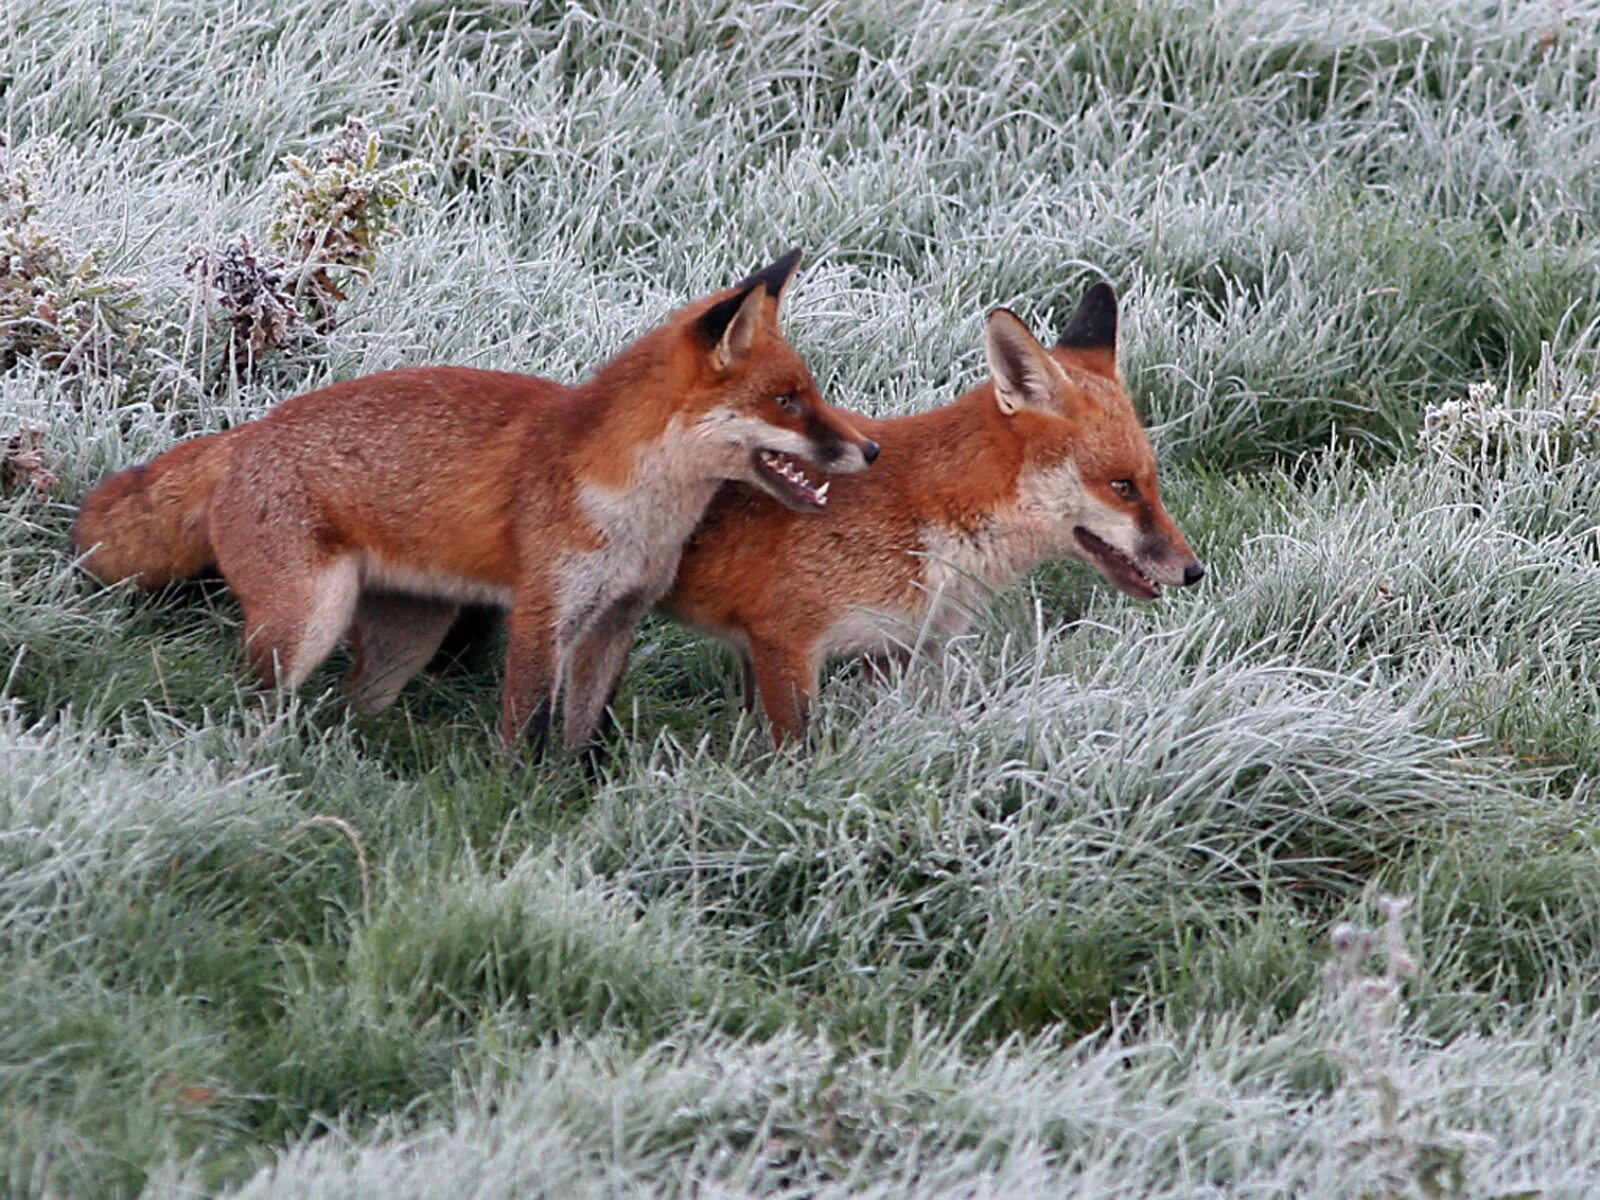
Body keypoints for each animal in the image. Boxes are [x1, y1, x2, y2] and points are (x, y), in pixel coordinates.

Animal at [72, 252, 876, 752]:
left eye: (810, 394)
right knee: (255, 703)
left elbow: (582, 742)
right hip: (307, 623)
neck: (639, 511)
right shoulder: (543, 615)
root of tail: (246, 432)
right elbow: (526, 736)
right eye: (788, 402)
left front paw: (572, 807)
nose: (869, 450)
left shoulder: (614, 620)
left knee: (351, 705)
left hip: (406, 641)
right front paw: (520, 808)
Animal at [659, 284, 1203, 748]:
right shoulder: (782, 641)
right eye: (1122, 487)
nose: (1194, 571)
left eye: (1151, 481)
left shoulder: (897, 648)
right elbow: (795, 753)